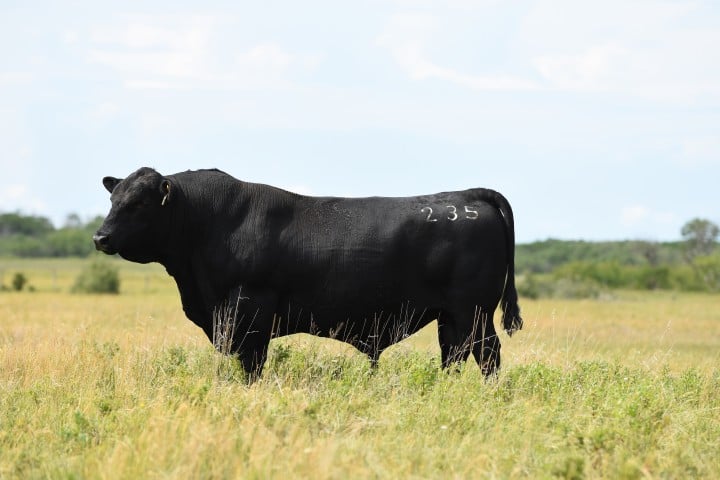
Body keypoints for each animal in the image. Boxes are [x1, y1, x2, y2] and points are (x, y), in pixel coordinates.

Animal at [93, 167, 522, 381]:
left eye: (139, 203)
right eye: (113, 198)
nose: (100, 237)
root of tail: (467, 195)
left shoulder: (249, 311)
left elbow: (252, 364)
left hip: (473, 311)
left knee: (487, 355)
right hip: (450, 315)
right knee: (454, 354)